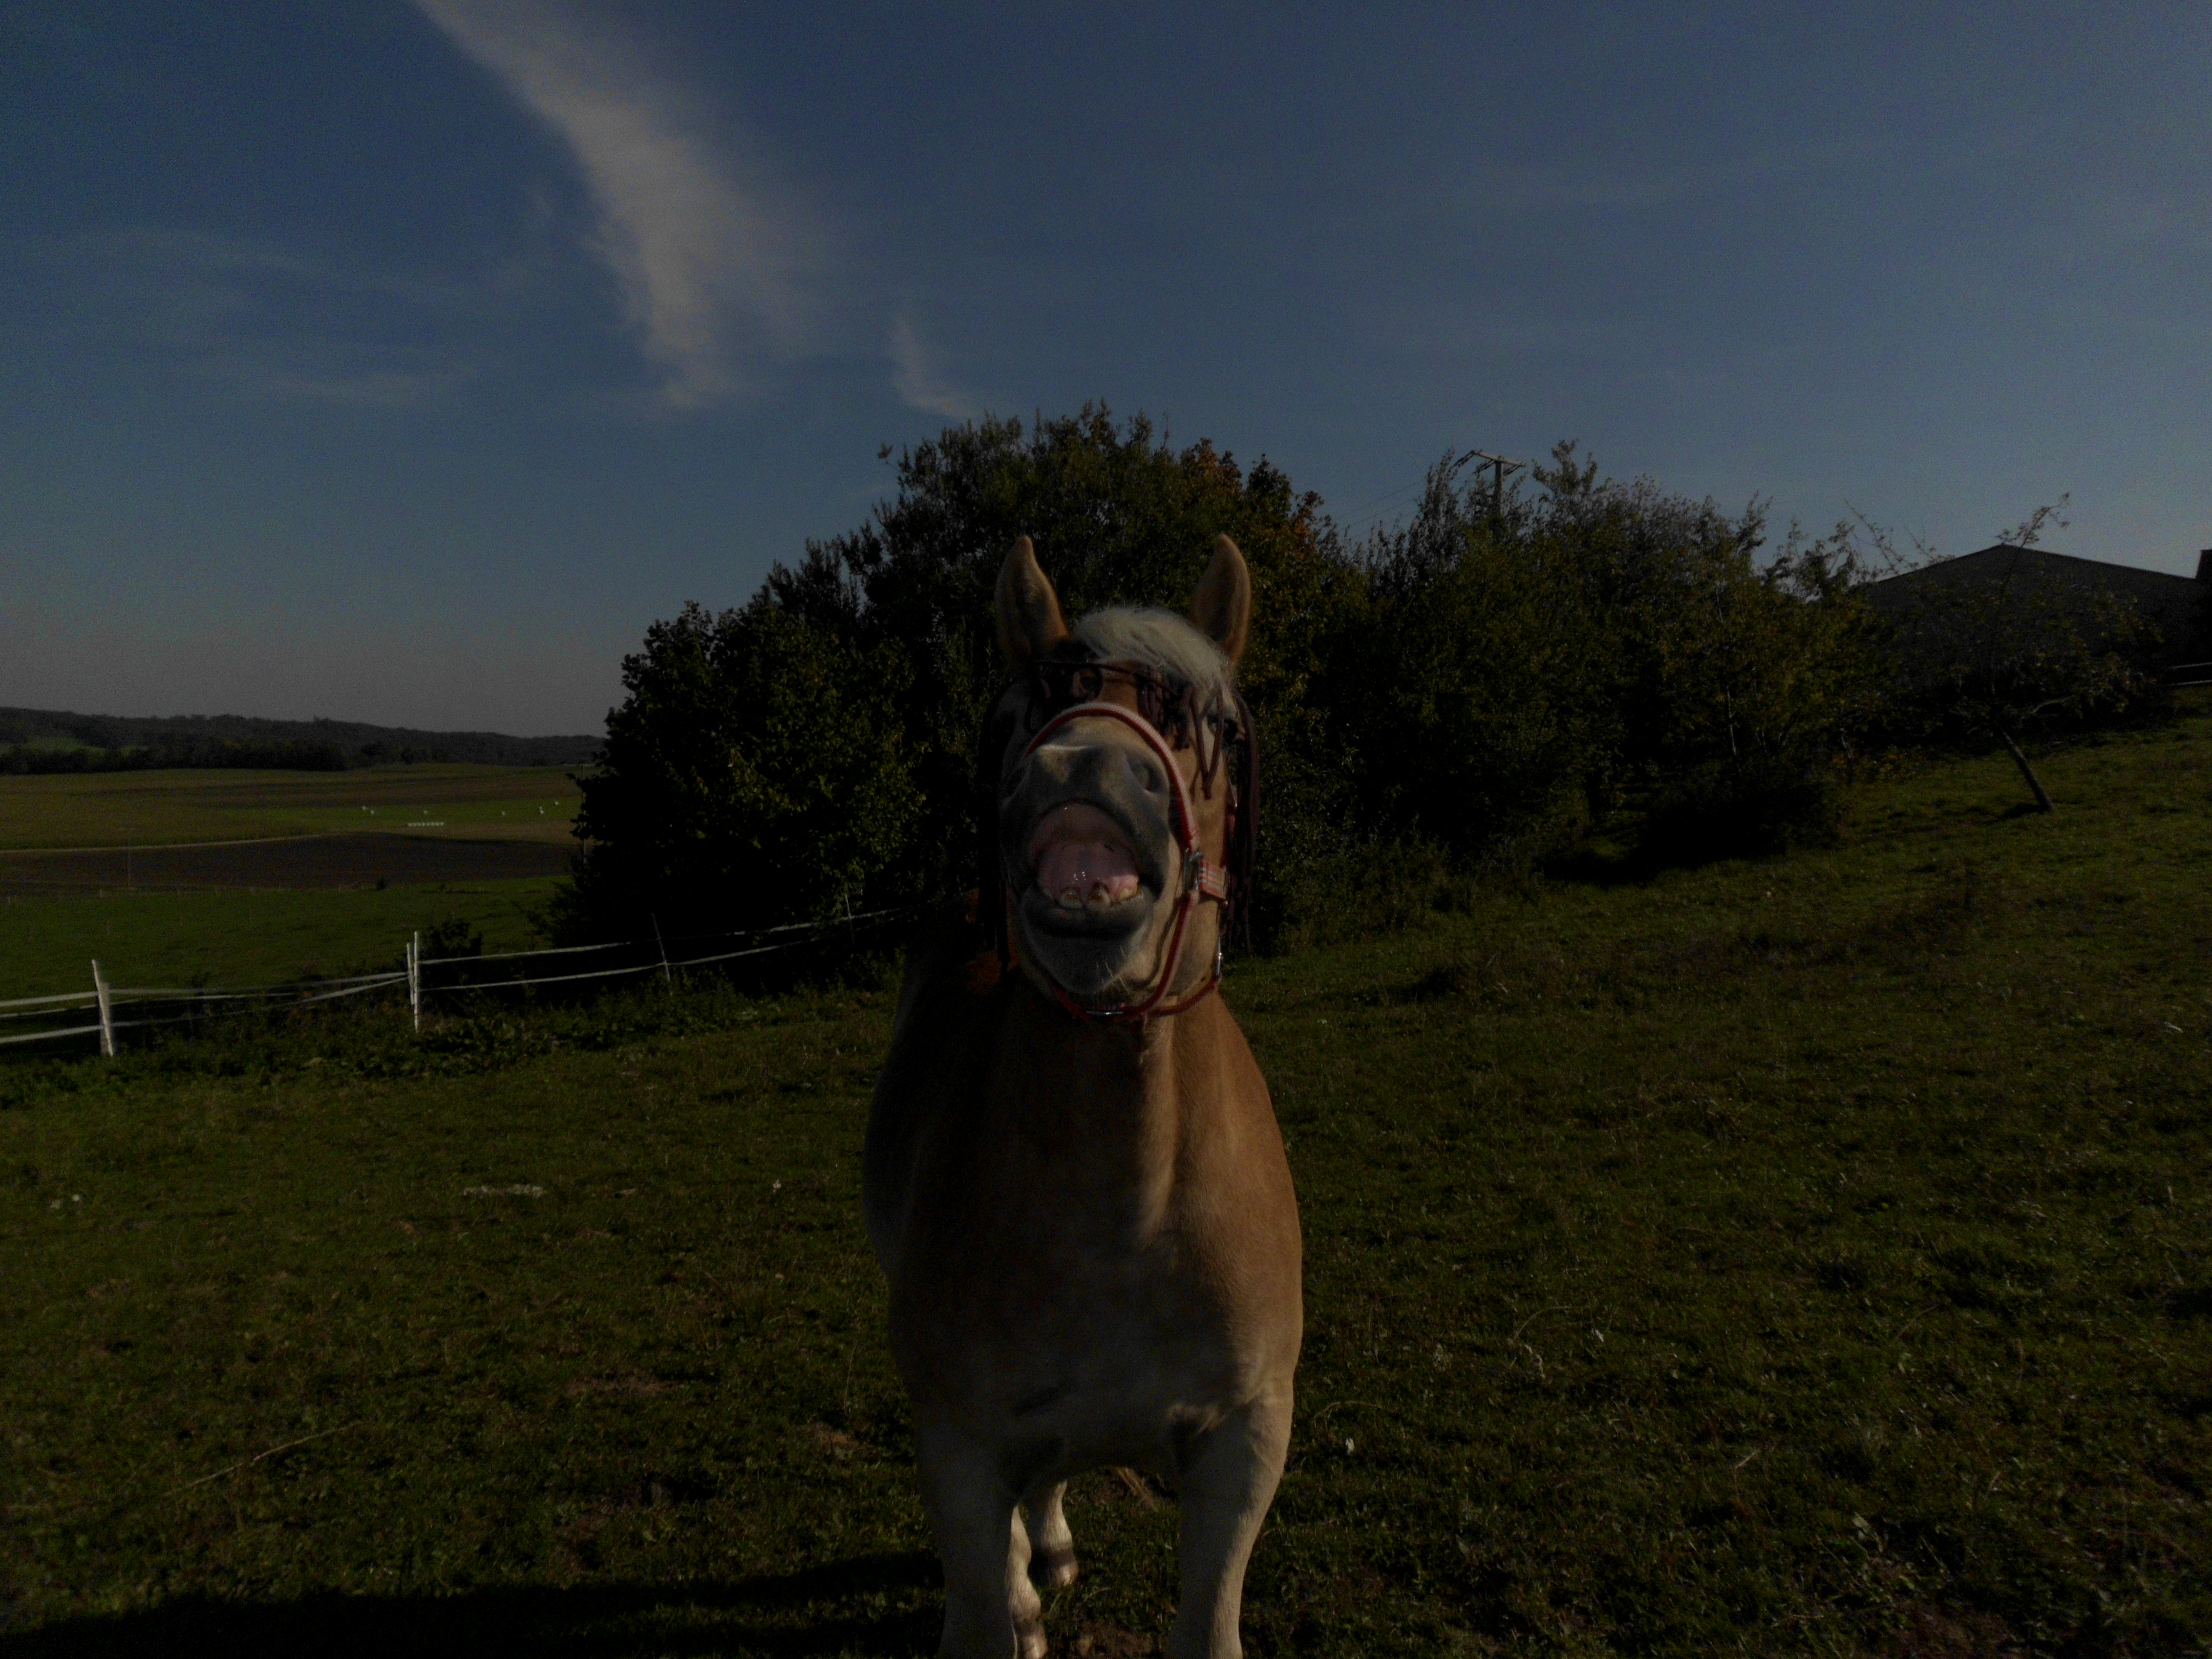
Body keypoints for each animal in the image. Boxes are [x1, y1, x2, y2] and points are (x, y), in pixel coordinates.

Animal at [864, 534, 1304, 1658]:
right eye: (1026, 715)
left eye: (1212, 721)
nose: (1085, 768)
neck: (1127, 1214)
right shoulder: (961, 1444)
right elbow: (984, 1599)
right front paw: (1009, 1605)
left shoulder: (1247, 1437)